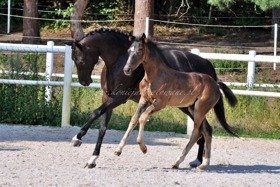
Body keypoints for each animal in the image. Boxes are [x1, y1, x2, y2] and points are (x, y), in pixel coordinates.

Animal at [115, 34, 235, 171]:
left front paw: (143, 148)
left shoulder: (160, 103)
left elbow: (143, 117)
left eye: (140, 50)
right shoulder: (143, 100)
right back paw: (204, 164)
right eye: (129, 50)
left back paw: (178, 162)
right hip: (193, 109)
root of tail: (216, 83)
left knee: (196, 132)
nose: (127, 69)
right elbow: (134, 120)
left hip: (200, 110)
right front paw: (118, 150)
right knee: (206, 130)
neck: (154, 76)